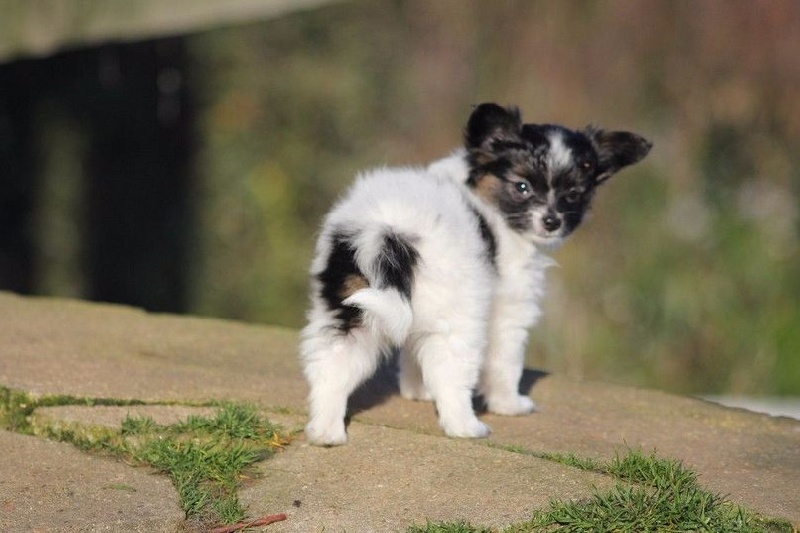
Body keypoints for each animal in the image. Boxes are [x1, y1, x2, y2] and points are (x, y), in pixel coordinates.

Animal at [300, 103, 651, 445]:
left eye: (573, 195)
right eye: (522, 187)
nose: (552, 222)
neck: (481, 193)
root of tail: (388, 230)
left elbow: (414, 353)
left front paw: (417, 391)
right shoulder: (508, 311)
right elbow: (506, 363)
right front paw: (509, 404)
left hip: (349, 308)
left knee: (332, 365)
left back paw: (326, 432)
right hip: (455, 318)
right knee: (452, 375)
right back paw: (465, 426)